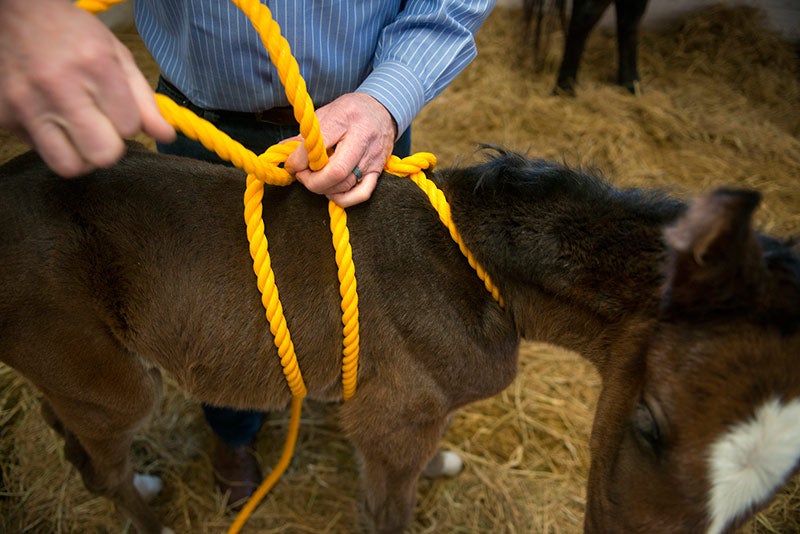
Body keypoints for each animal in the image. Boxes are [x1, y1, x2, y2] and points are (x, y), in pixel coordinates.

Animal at [0, 142, 797, 533]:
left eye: (783, 484)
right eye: (649, 426)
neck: (472, 269)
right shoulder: (395, 418)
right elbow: (390, 512)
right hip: (110, 381)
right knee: (102, 459)